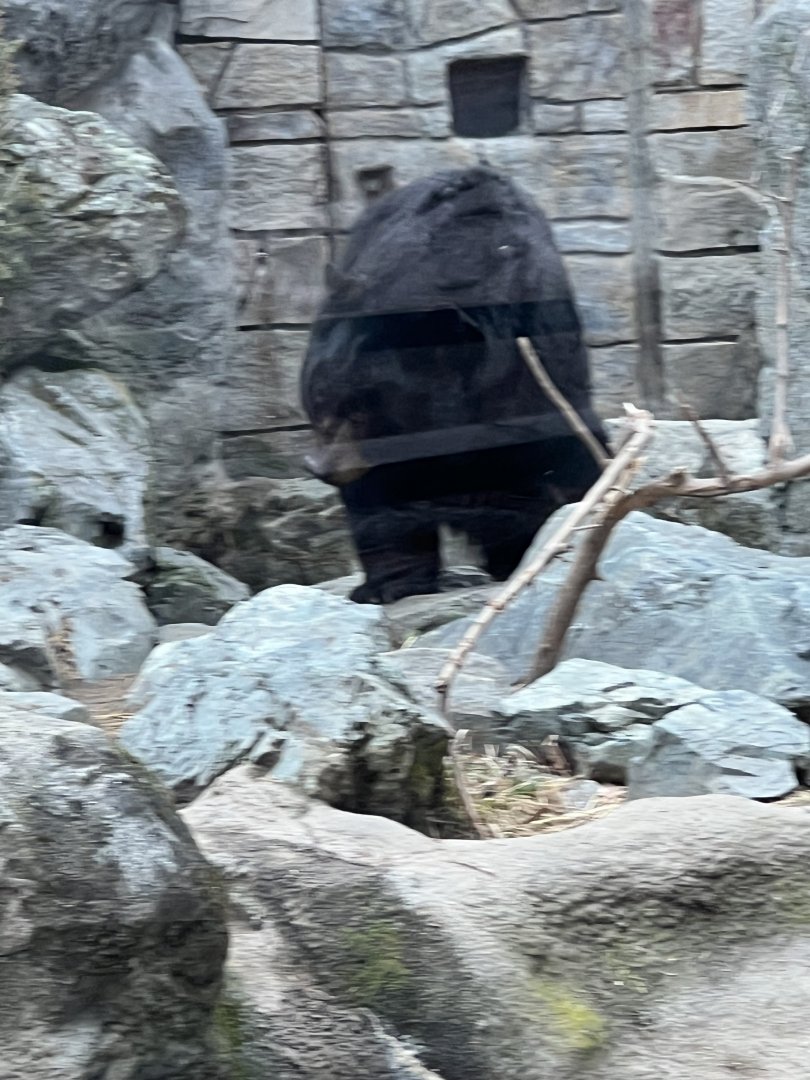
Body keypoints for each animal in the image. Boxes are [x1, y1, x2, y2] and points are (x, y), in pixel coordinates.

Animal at [300, 166, 608, 605]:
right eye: (318, 396)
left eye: (360, 411)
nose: (318, 467)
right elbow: (378, 498)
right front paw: (391, 584)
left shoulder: (540, 373)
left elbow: (557, 472)